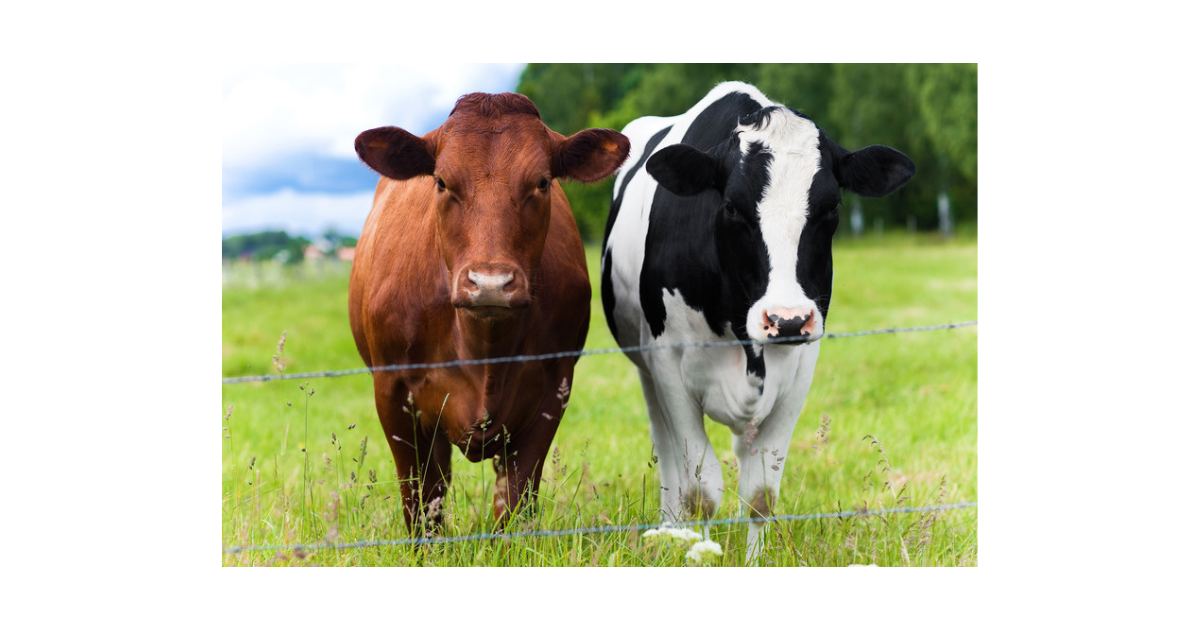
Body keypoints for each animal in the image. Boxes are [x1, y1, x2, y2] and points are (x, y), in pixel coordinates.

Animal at [350, 92, 630, 533]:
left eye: (542, 182)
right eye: (442, 182)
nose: (490, 283)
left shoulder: (554, 388)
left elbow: (514, 499)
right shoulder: (392, 391)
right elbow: (419, 499)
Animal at [601, 82, 914, 560]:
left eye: (832, 207)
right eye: (731, 207)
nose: (787, 320)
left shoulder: (800, 369)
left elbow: (761, 492)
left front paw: (756, 561)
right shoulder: (668, 363)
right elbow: (701, 490)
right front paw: (699, 555)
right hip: (646, 368)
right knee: (666, 448)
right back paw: (670, 529)